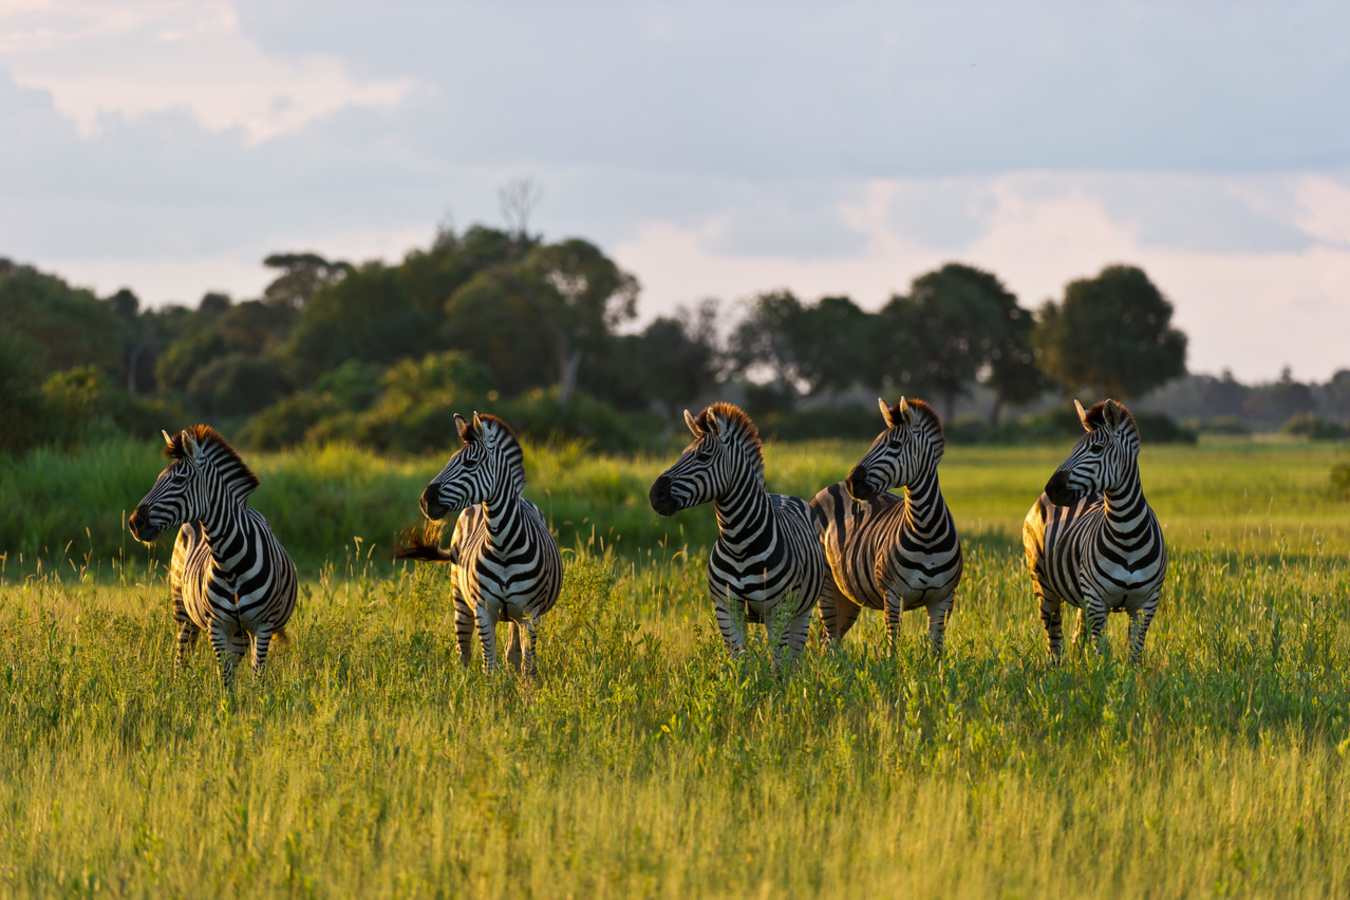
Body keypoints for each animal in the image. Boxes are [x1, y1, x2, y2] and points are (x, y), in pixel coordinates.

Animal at [127, 426, 297, 687]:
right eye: (158, 478)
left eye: (179, 480)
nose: (135, 523)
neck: (231, 563)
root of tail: (194, 520)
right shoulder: (216, 625)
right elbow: (225, 677)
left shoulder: (262, 626)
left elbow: (257, 676)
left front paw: (258, 699)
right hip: (183, 612)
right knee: (182, 657)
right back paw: (178, 690)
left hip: (241, 631)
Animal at [397, 412, 562, 676]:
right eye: (449, 460)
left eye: (470, 463)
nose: (424, 500)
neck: (503, 544)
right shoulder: (483, 611)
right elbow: (489, 666)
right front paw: (489, 688)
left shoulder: (530, 614)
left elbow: (528, 667)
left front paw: (526, 687)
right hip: (460, 599)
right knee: (463, 651)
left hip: (516, 617)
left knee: (513, 654)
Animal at [648, 402, 825, 660]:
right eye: (682, 453)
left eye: (703, 456)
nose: (655, 495)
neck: (739, 543)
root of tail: (781, 495)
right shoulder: (726, 607)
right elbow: (740, 660)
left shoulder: (778, 610)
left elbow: (777, 664)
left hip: (802, 611)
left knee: (793, 658)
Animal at [810, 396, 963, 655]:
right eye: (874, 443)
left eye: (895, 445)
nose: (852, 482)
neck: (926, 530)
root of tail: (831, 487)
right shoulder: (892, 595)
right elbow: (893, 648)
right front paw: (893, 667)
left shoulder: (943, 599)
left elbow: (936, 651)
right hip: (827, 586)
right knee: (829, 640)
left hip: (847, 595)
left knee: (830, 639)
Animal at [1022, 399, 1167, 663]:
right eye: (1073, 448)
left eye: (1097, 449)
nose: (1052, 489)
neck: (1127, 533)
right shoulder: (1098, 602)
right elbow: (1103, 654)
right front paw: (1102, 673)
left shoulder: (1146, 604)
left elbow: (1134, 654)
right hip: (1043, 585)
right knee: (1054, 638)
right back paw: (1055, 668)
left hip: (1081, 598)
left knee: (1075, 636)